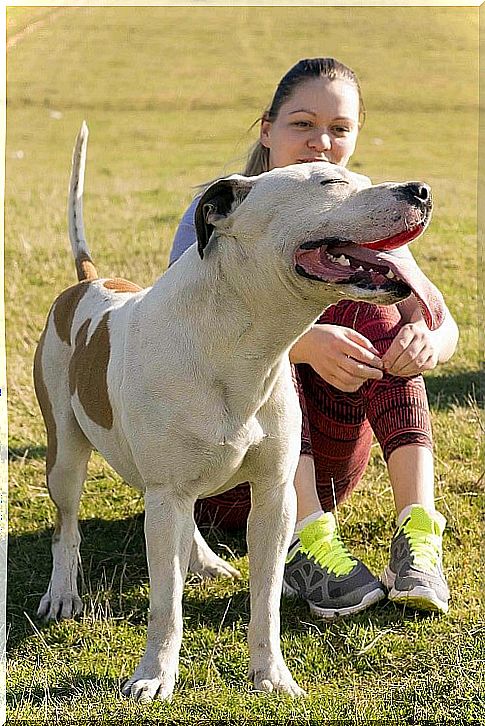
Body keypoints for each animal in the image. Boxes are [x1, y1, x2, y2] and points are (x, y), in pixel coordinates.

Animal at [33, 122, 442, 704]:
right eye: (330, 181)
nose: (421, 190)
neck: (236, 342)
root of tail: (87, 282)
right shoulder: (167, 492)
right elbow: (165, 606)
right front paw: (154, 675)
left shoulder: (273, 498)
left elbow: (266, 601)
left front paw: (272, 674)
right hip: (66, 459)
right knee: (66, 525)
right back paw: (64, 592)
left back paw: (201, 559)